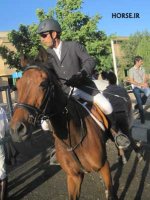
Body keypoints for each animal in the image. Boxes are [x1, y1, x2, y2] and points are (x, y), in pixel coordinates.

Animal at [10, 64, 118, 200]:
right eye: (17, 86)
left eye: (43, 84)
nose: (16, 130)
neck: (73, 138)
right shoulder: (74, 177)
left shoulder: (104, 166)